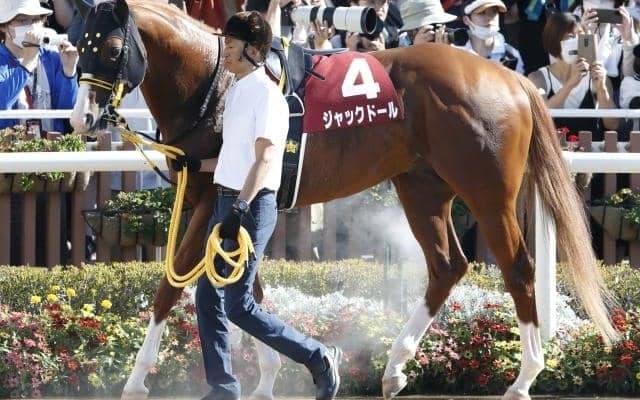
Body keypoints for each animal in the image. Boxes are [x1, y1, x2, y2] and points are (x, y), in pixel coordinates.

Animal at [69, 1, 618, 399]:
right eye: (79, 44)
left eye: (112, 47)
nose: (81, 118)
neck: (218, 85)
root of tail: (512, 79)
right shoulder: (234, 205)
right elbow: (243, 288)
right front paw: (269, 375)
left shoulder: (213, 197)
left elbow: (173, 285)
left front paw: (136, 381)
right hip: (421, 186)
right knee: (447, 265)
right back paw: (395, 367)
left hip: (487, 193)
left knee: (518, 268)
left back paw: (523, 378)